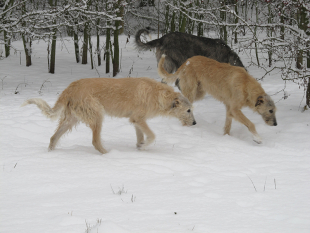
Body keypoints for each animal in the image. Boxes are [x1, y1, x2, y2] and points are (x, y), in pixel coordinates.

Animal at [22, 77, 196, 154]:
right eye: (188, 110)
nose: (194, 123)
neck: (159, 95)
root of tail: (70, 88)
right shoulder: (139, 119)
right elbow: (152, 136)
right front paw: (145, 146)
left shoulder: (136, 120)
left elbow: (140, 137)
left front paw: (140, 148)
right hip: (97, 115)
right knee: (95, 141)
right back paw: (108, 155)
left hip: (70, 120)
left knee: (53, 138)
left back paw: (51, 154)